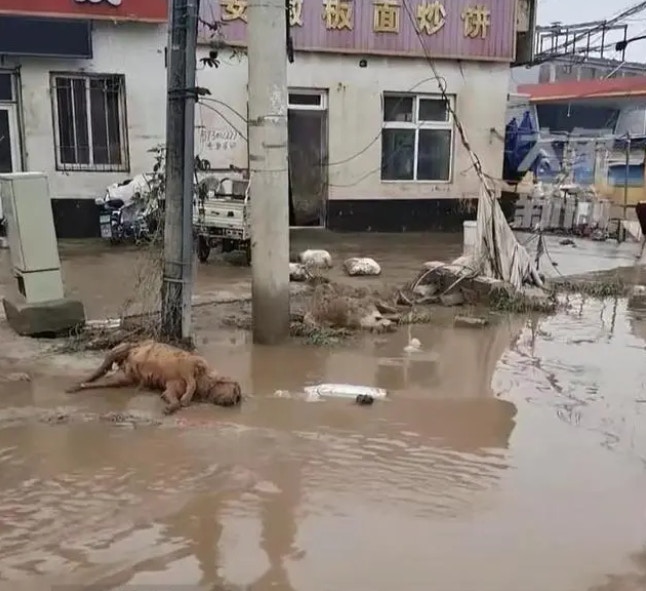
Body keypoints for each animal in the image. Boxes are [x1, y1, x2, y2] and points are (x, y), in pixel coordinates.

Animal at [66, 340, 243, 414]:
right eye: (236, 391)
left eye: (237, 396)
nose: (233, 400)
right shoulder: (190, 363)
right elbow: (190, 382)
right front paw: (185, 400)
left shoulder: (172, 386)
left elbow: (170, 395)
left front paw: (171, 406)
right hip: (125, 347)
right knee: (108, 360)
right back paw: (77, 384)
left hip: (125, 377)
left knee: (107, 380)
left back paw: (80, 385)